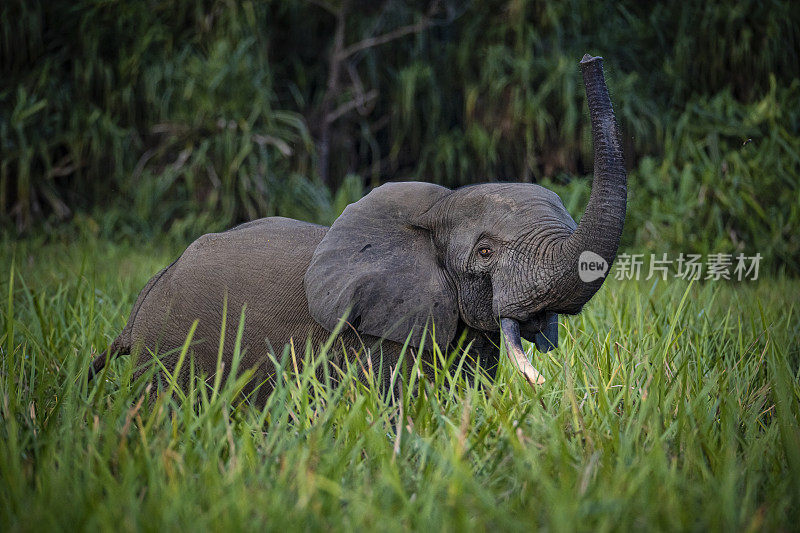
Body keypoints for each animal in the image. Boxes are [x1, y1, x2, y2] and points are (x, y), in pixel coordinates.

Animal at [87, 55, 624, 404]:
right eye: (485, 253)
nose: (589, 59)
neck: (434, 210)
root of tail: (139, 306)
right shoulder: (371, 335)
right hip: (166, 355)